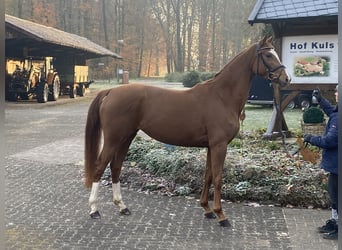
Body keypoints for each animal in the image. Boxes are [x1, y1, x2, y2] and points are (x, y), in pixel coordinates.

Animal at [84, 36, 290, 227]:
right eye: (268, 55)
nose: (286, 79)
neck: (222, 96)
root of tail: (110, 91)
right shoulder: (219, 145)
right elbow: (217, 177)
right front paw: (221, 215)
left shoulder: (211, 146)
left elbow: (207, 175)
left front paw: (207, 209)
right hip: (113, 139)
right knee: (100, 167)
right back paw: (94, 209)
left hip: (126, 137)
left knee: (116, 167)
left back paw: (122, 206)